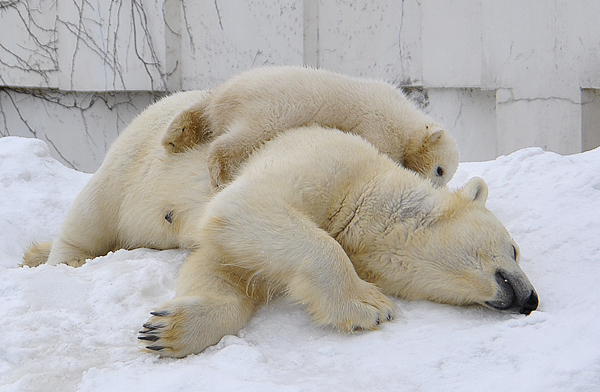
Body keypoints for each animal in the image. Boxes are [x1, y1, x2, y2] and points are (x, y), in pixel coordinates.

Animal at [23, 89, 540, 358]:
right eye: (515, 249)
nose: (531, 299)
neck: (367, 189)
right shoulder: (319, 157)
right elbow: (247, 208)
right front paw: (368, 306)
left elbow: (223, 267)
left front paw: (168, 329)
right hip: (134, 156)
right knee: (92, 213)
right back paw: (59, 261)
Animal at [159, 66, 460, 188]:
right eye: (440, 170)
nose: (437, 188)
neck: (404, 116)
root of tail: (228, 96)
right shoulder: (378, 123)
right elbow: (377, 148)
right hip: (269, 110)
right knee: (242, 137)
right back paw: (221, 174)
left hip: (225, 93)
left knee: (200, 109)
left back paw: (174, 137)